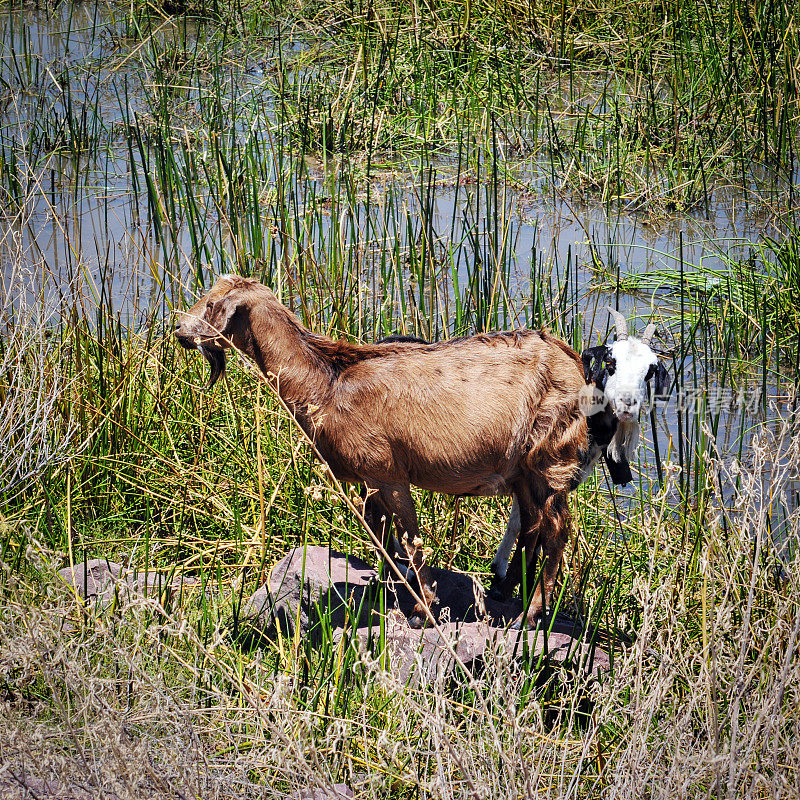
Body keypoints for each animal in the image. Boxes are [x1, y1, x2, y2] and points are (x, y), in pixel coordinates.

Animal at [175, 278, 588, 628]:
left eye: (211, 305)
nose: (178, 330)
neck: (326, 383)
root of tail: (571, 359)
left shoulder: (387, 472)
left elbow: (409, 537)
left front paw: (423, 611)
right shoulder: (367, 479)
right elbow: (380, 532)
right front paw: (385, 591)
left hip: (549, 456)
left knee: (556, 531)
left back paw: (531, 616)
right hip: (523, 471)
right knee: (533, 527)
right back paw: (510, 595)